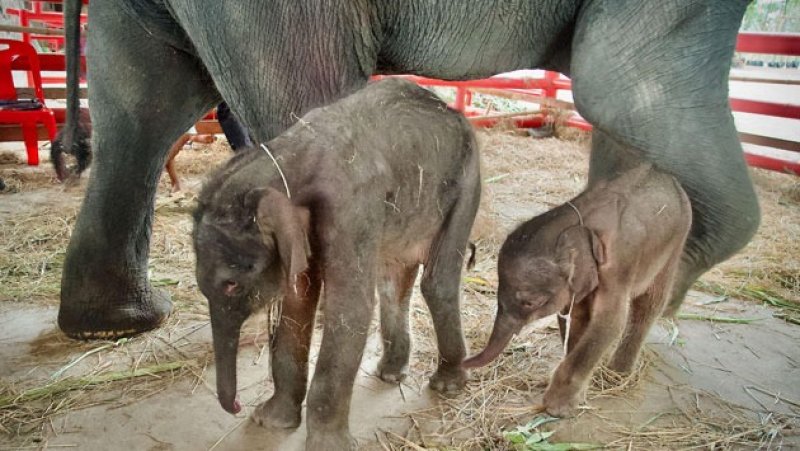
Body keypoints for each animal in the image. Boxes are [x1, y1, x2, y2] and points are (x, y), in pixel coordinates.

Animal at [192, 78, 480, 449]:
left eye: (232, 284)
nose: (239, 407)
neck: (284, 158)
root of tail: (451, 109)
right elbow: (297, 303)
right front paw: (270, 421)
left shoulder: (352, 207)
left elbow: (350, 308)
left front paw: (325, 444)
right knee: (392, 280)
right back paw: (391, 373)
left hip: (468, 181)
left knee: (437, 281)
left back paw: (447, 385)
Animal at [463, 163, 692, 417]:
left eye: (530, 302)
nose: (460, 363)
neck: (581, 222)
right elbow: (576, 317)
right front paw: (575, 397)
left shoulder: (618, 269)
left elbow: (609, 323)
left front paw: (557, 409)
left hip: (676, 242)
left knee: (650, 303)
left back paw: (618, 374)